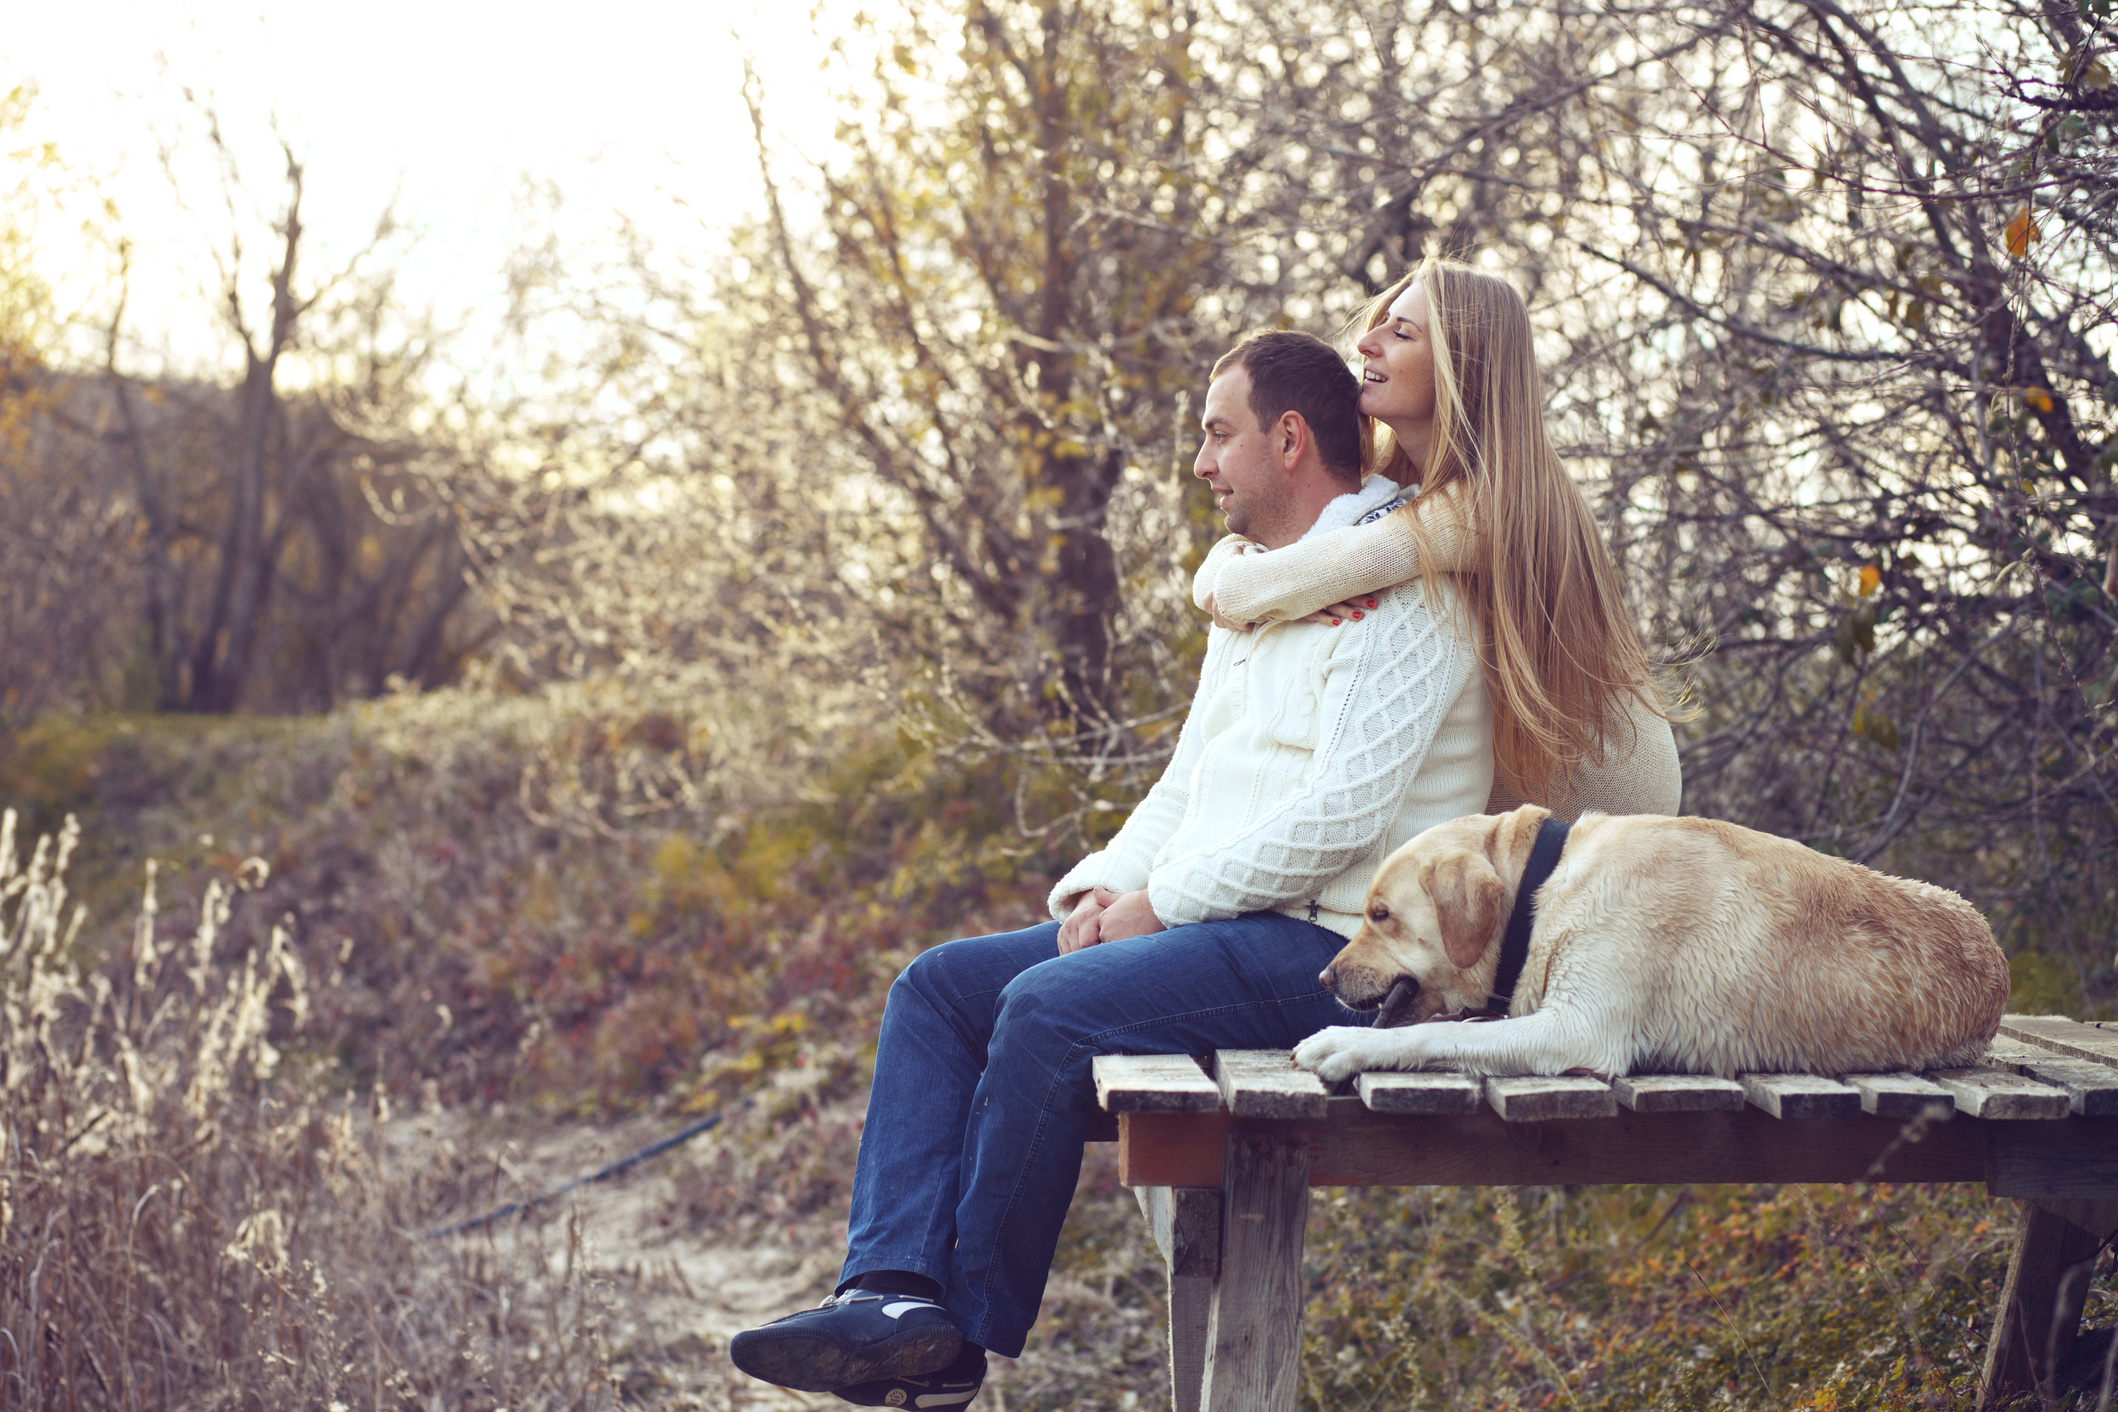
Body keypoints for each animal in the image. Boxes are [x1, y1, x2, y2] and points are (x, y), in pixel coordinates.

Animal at [1287, 804, 1999, 1083]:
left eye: (1380, 915)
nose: (1322, 980)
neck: (1547, 886)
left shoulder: (1580, 1029)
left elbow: (1437, 1034)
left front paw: (1343, 1043)